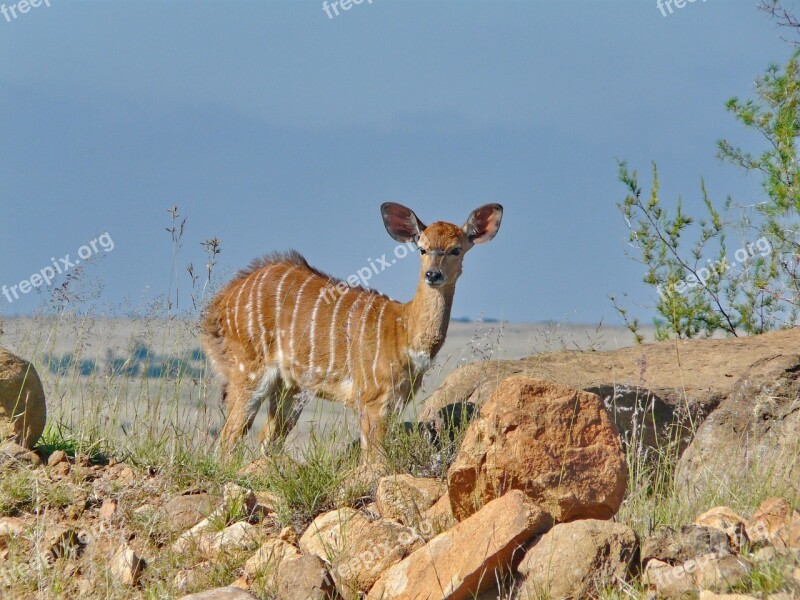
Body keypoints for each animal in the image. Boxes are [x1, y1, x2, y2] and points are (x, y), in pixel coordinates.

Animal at [202, 202, 500, 460]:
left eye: (456, 249)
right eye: (422, 249)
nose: (433, 275)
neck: (403, 331)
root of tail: (220, 303)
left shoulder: (397, 400)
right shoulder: (372, 399)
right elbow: (374, 461)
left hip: (289, 387)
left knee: (266, 439)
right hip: (250, 372)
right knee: (228, 439)